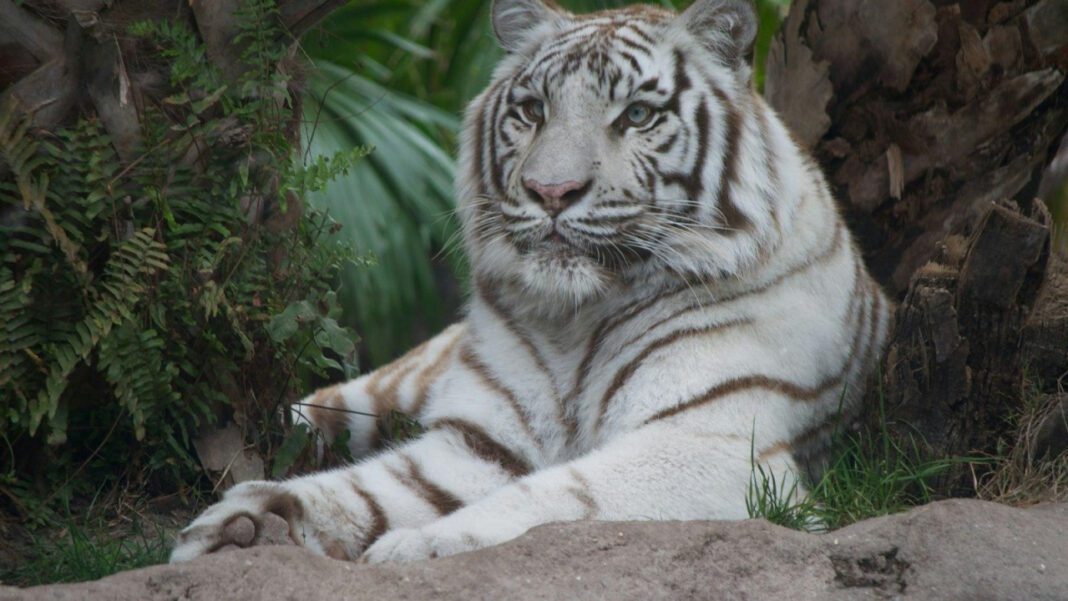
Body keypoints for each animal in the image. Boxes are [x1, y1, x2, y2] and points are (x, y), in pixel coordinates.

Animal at [171, 0, 890, 564]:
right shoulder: (480, 441)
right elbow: (377, 487)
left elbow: (560, 492)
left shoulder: (712, 445)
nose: (550, 191)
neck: (579, 319)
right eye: (531, 110)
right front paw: (252, 521)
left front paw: (418, 546)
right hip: (397, 381)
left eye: (636, 115)